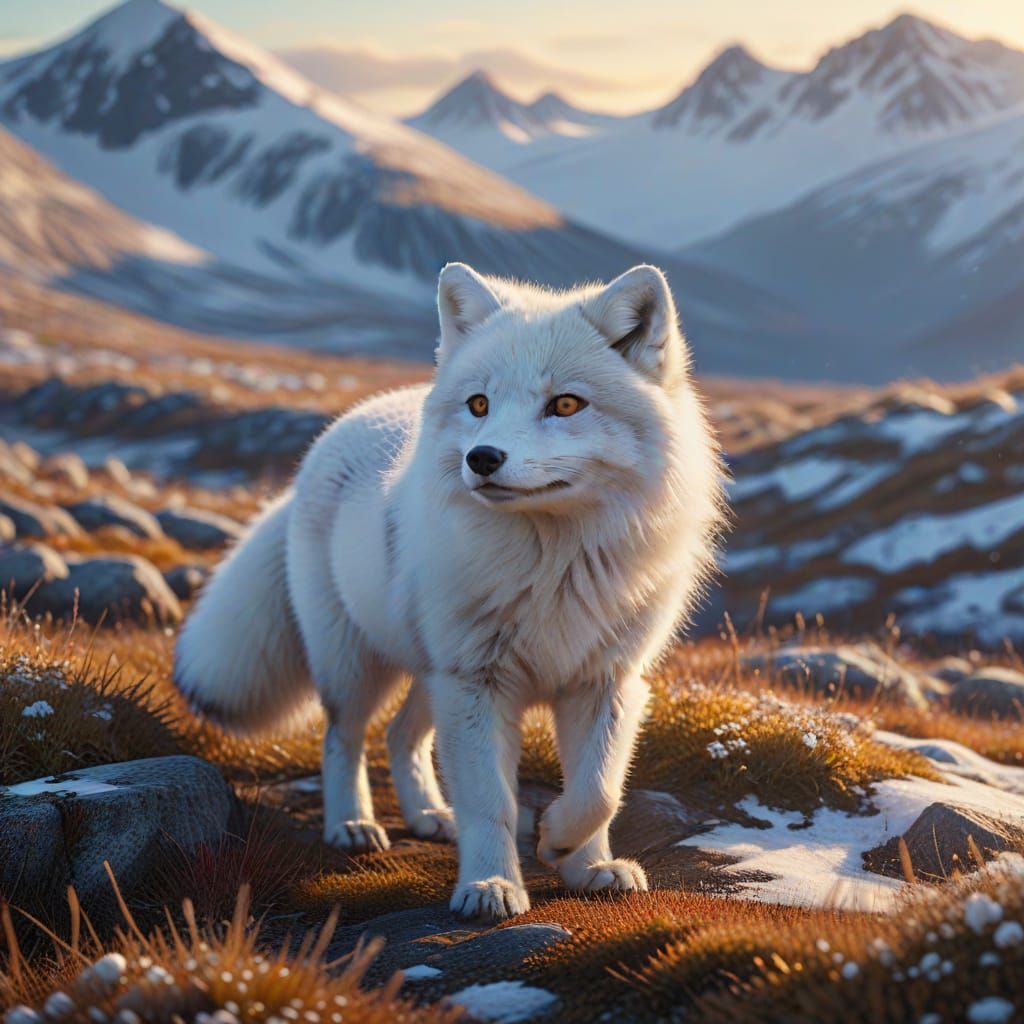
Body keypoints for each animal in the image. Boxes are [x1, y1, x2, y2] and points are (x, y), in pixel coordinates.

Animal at [174, 262, 725, 922]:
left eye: (565, 404)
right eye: (479, 404)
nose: (482, 457)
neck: (553, 566)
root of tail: (337, 430)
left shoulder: (606, 681)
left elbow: (598, 790)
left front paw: (579, 858)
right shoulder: (476, 683)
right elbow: (492, 802)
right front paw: (492, 884)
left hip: (429, 671)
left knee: (400, 734)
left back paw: (429, 815)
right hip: (358, 667)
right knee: (344, 738)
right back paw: (353, 825)